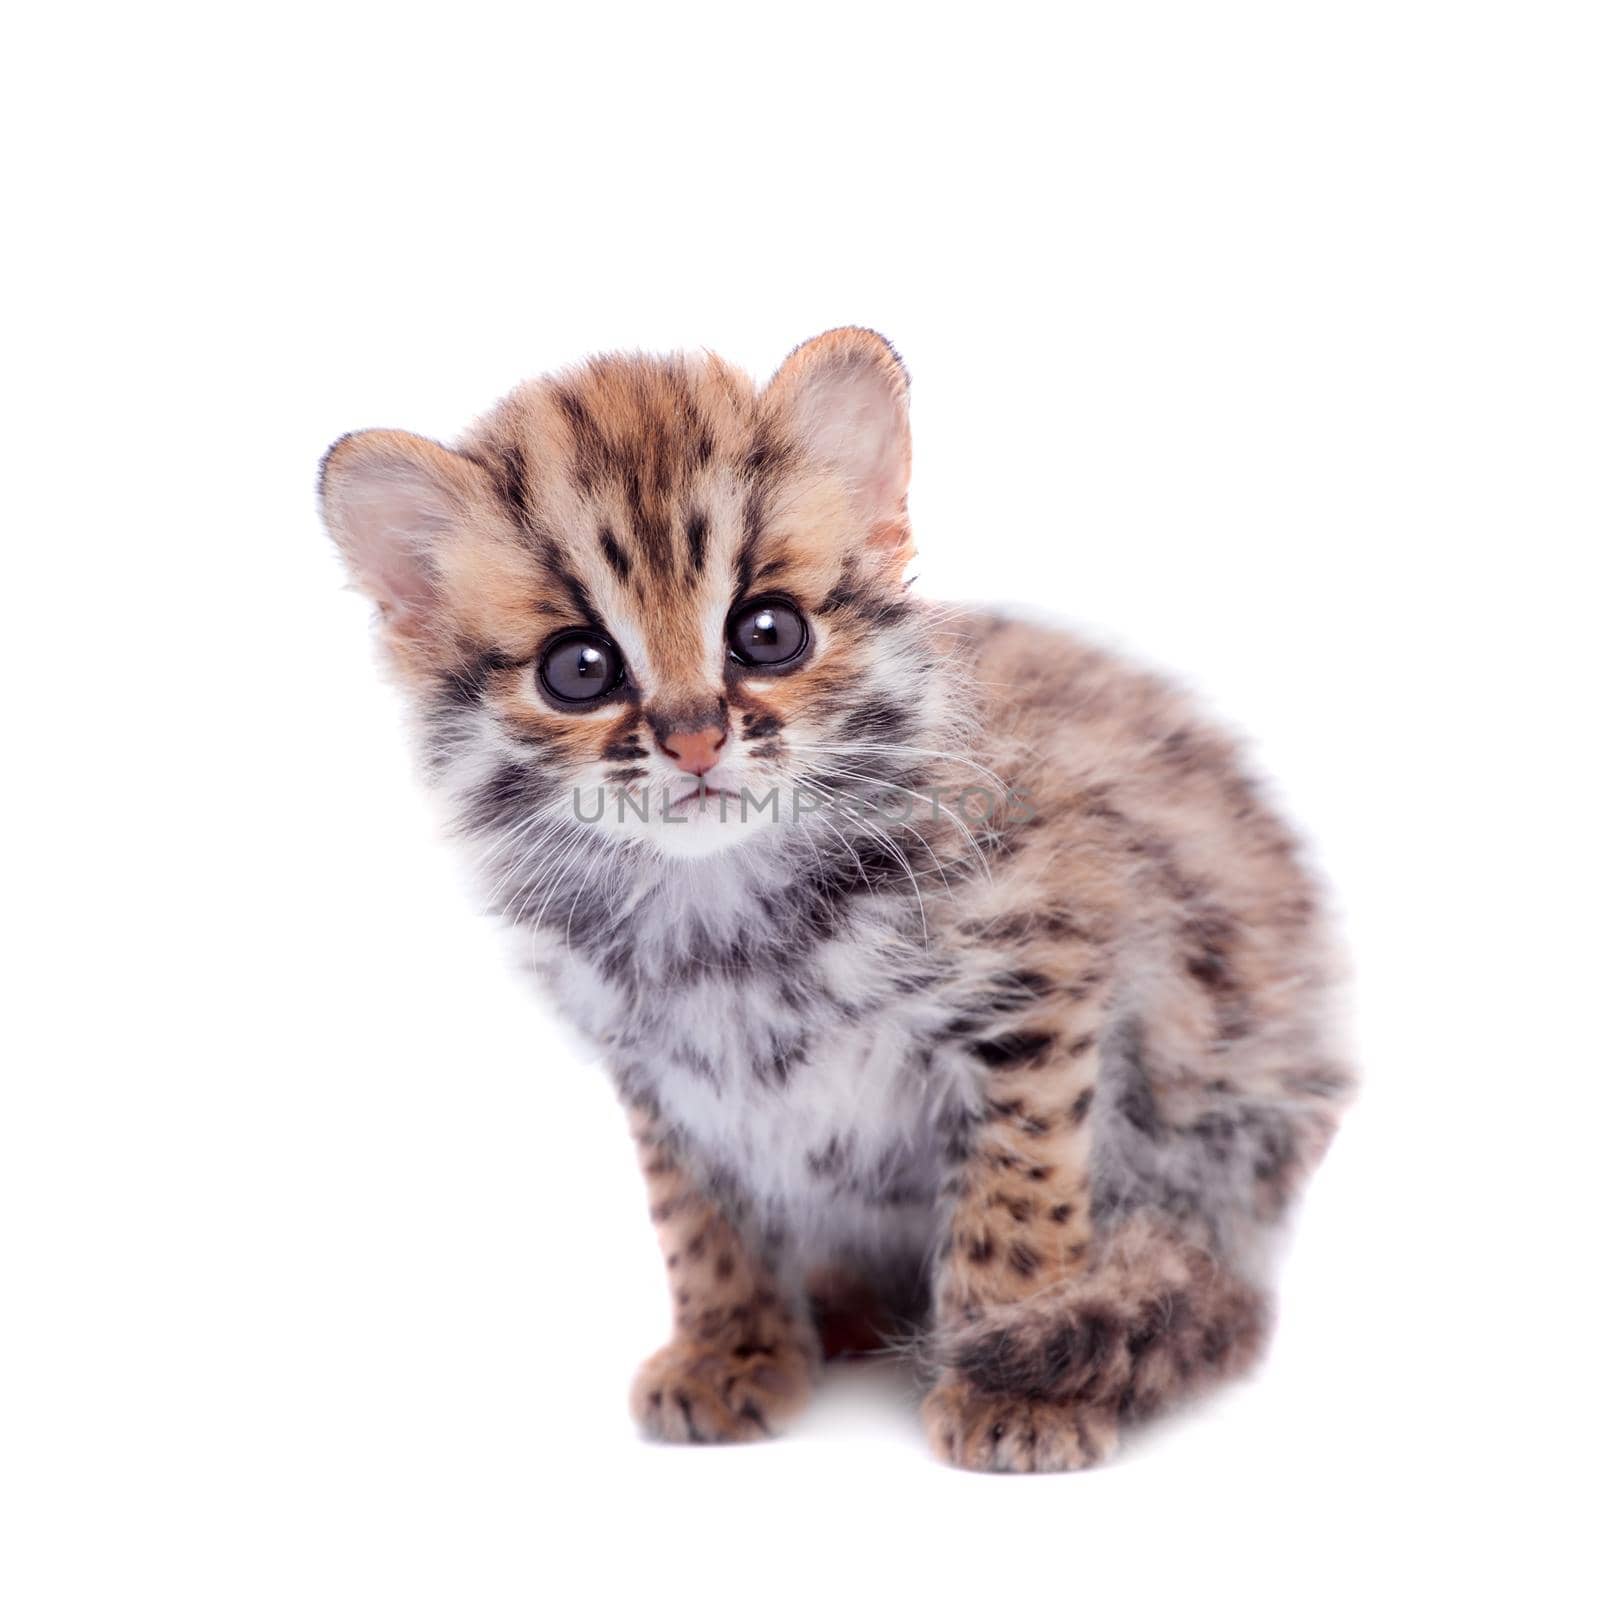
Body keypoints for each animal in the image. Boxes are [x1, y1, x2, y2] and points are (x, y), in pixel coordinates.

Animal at [318, 331, 1356, 1465]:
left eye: (767, 632)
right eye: (579, 668)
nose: (694, 739)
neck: (719, 910)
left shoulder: (1038, 987)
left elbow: (1016, 1205)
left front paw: (1011, 1382)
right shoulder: (668, 1076)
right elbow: (700, 1225)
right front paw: (730, 1349)